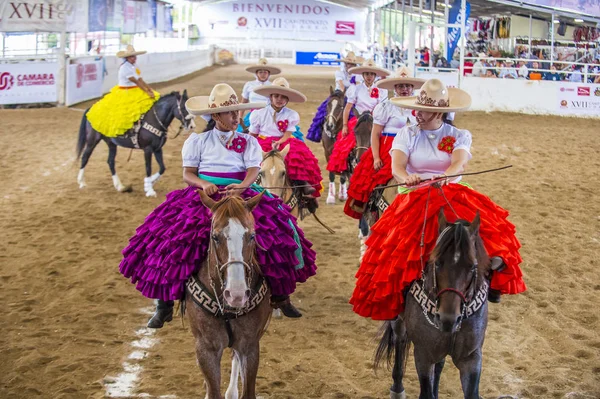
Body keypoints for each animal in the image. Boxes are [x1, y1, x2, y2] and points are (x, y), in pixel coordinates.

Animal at [186, 192, 274, 398]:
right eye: (215, 237)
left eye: (252, 235)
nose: (236, 294)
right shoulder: (206, 349)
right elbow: (213, 391)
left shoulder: (250, 346)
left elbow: (248, 391)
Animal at [376, 211, 492, 398]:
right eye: (437, 262)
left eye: (472, 266)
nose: (448, 319)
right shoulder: (424, 355)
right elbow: (426, 392)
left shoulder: (471, 358)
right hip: (398, 321)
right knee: (399, 339)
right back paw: (397, 388)